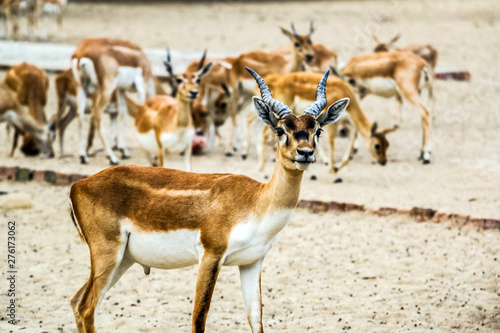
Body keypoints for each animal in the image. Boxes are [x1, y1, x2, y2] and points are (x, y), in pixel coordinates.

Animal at [66, 67, 348, 332]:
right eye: (280, 129)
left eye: (317, 130)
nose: (305, 153)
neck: (256, 202)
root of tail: (77, 186)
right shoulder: (211, 256)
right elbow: (198, 318)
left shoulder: (252, 263)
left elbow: (256, 319)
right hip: (108, 253)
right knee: (87, 307)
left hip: (123, 259)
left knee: (77, 301)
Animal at [69, 37, 153, 165]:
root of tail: (82, 52)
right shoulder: (142, 84)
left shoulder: (121, 89)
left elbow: (123, 115)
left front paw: (124, 151)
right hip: (107, 87)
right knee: (96, 115)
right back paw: (112, 158)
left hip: (81, 87)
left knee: (81, 115)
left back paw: (83, 156)